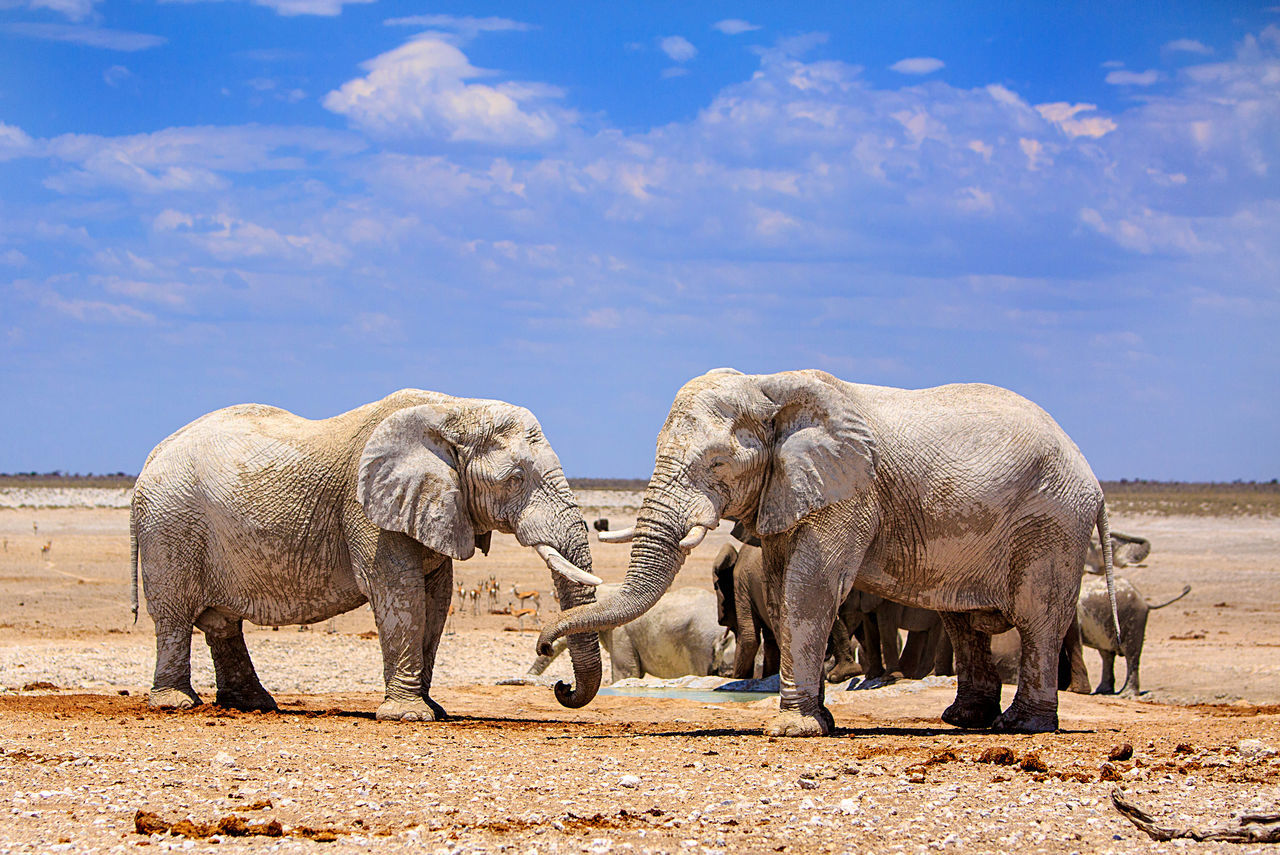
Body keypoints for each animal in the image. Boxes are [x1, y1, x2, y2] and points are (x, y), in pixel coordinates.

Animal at [132, 391, 601, 721]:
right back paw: (176, 704)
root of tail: (153, 454)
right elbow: (400, 594)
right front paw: (409, 715)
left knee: (222, 625)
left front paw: (433, 709)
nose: (562, 687)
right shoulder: (367, 512)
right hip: (170, 526)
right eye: (515, 479)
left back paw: (253, 705)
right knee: (174, 617)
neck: (453, 409)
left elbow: (436, 599)